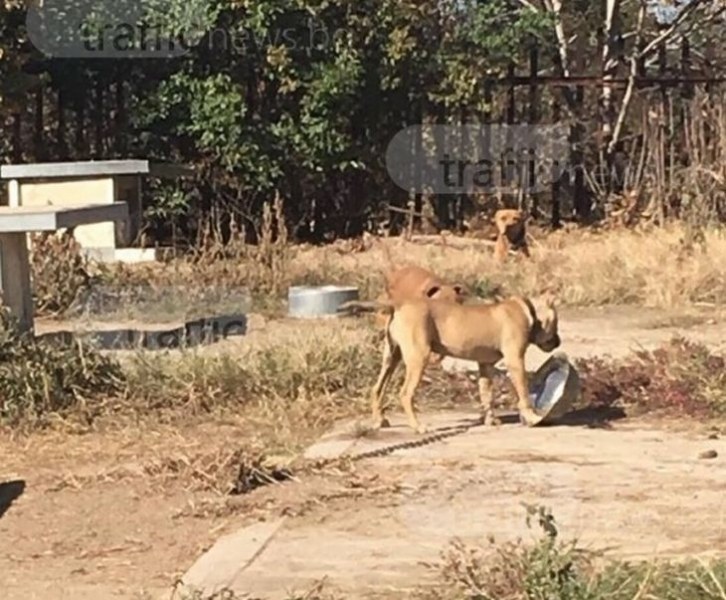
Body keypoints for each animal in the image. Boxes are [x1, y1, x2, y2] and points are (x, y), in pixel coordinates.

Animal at [342, 292, 564, 434]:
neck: (527, 310)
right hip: (418, 357)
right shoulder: (515, 361)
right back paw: (418, 427)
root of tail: (398, 305)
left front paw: (490, 420)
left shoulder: (485, 366)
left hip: (391, 357)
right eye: (556, 322)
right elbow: (524, 393)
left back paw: (379, 421)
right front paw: (532, 416)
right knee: (405, 394)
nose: (559, 342)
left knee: (377, 388)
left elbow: (486, 395)